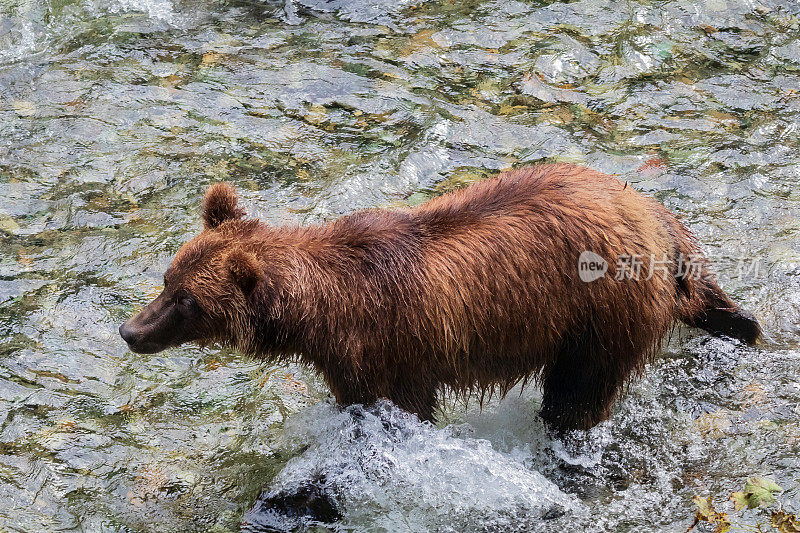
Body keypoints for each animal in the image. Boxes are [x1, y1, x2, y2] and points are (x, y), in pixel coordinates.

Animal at [120, 163, 764, 432]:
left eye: (186, 301)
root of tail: (654, 217)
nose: (131, 331)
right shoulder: (350, 358)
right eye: (167, 279)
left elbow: (404, 405)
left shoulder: (392, 346)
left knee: (578, 391)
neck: (322, 312)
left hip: (599, 314)